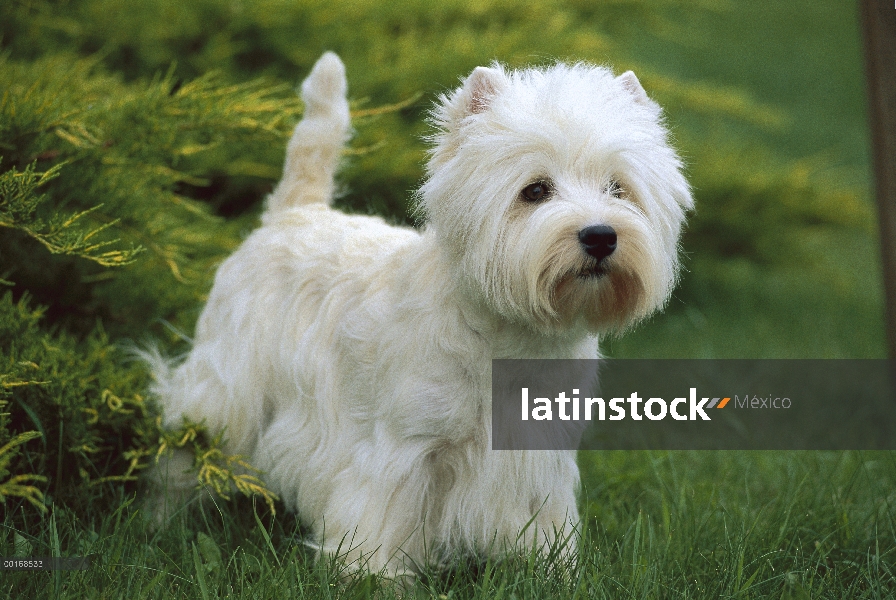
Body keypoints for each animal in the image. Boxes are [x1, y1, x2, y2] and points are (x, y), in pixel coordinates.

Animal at [149, 51, 692, 576]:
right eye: (535, 190)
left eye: (618, 189)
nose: (600, 236)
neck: (510, 334)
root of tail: (292, 212)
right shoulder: (402, 445)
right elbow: (380, 514)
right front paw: (371, 576)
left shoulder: (537, 454)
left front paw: (552, 571)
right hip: (225, 388)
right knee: (185, 447)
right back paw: (162, 518)